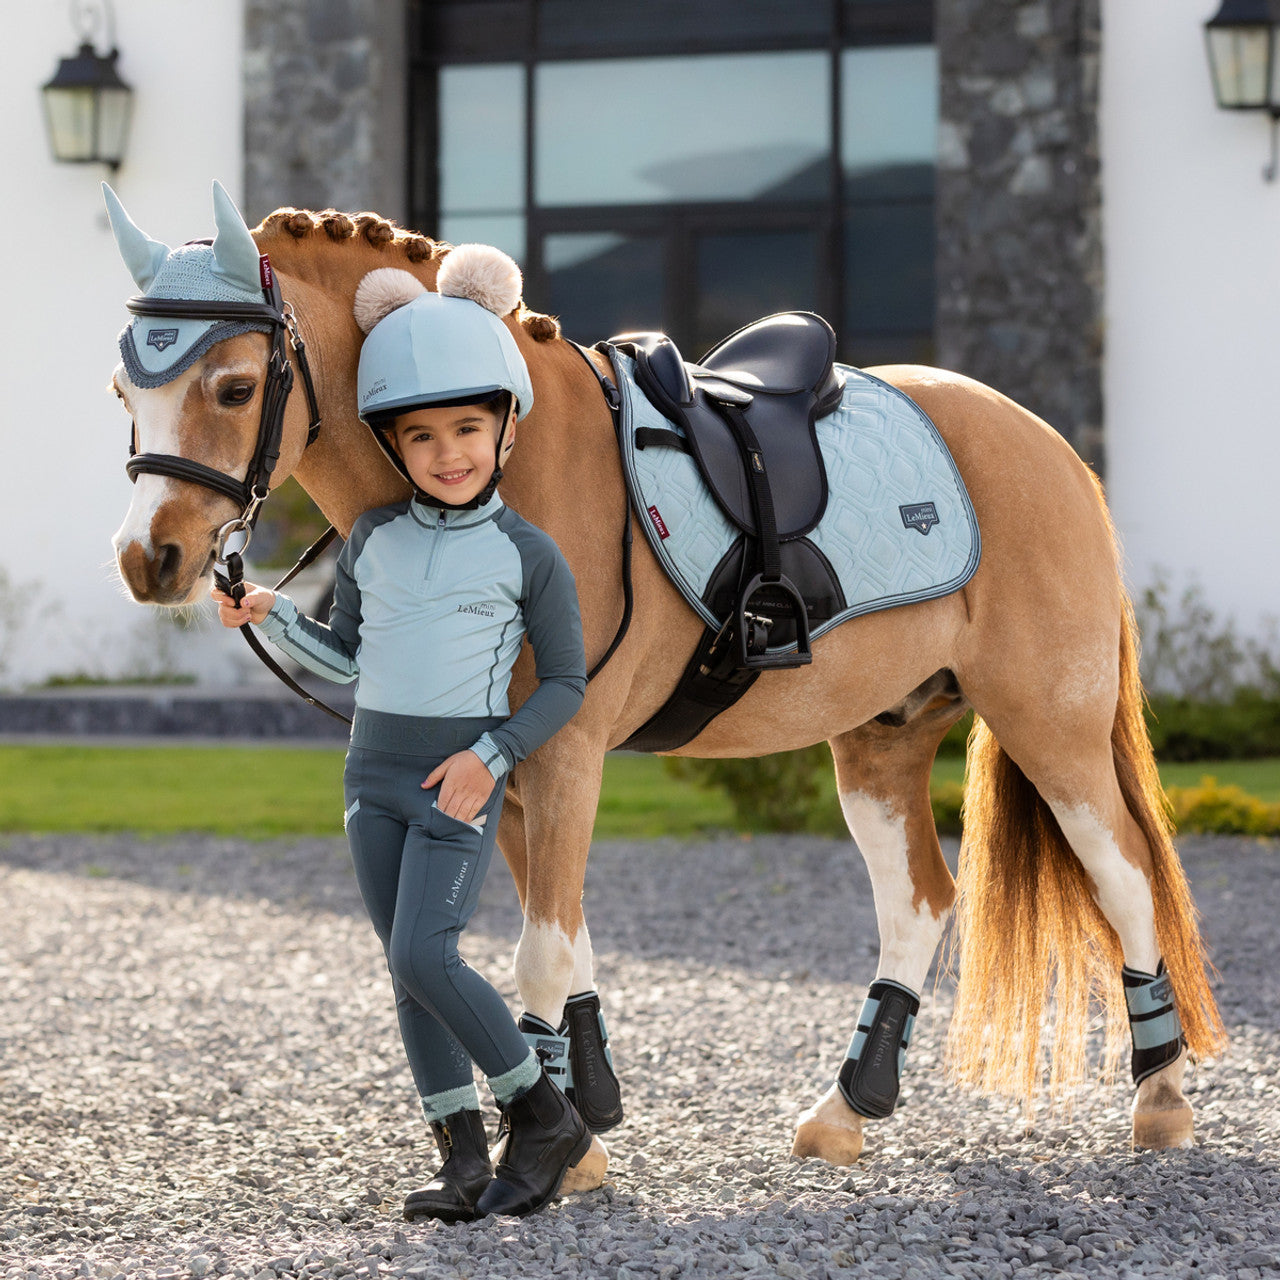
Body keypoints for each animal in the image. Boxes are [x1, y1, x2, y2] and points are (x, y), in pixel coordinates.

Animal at [105, 190, 1224, 1186]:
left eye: (234, 387)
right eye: (124, 392)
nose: (149, 559)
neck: (503, 468)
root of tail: (1043, 443)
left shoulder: (560, 752)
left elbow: (540, 953)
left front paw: (554, 1151)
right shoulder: (510, 774)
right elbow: (563, 942)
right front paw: (581, 1122)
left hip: (1051, 722)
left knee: (1124, 874)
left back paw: (1161, 1099)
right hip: (880, 737)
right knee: (920, 897)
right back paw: (844, 1109)